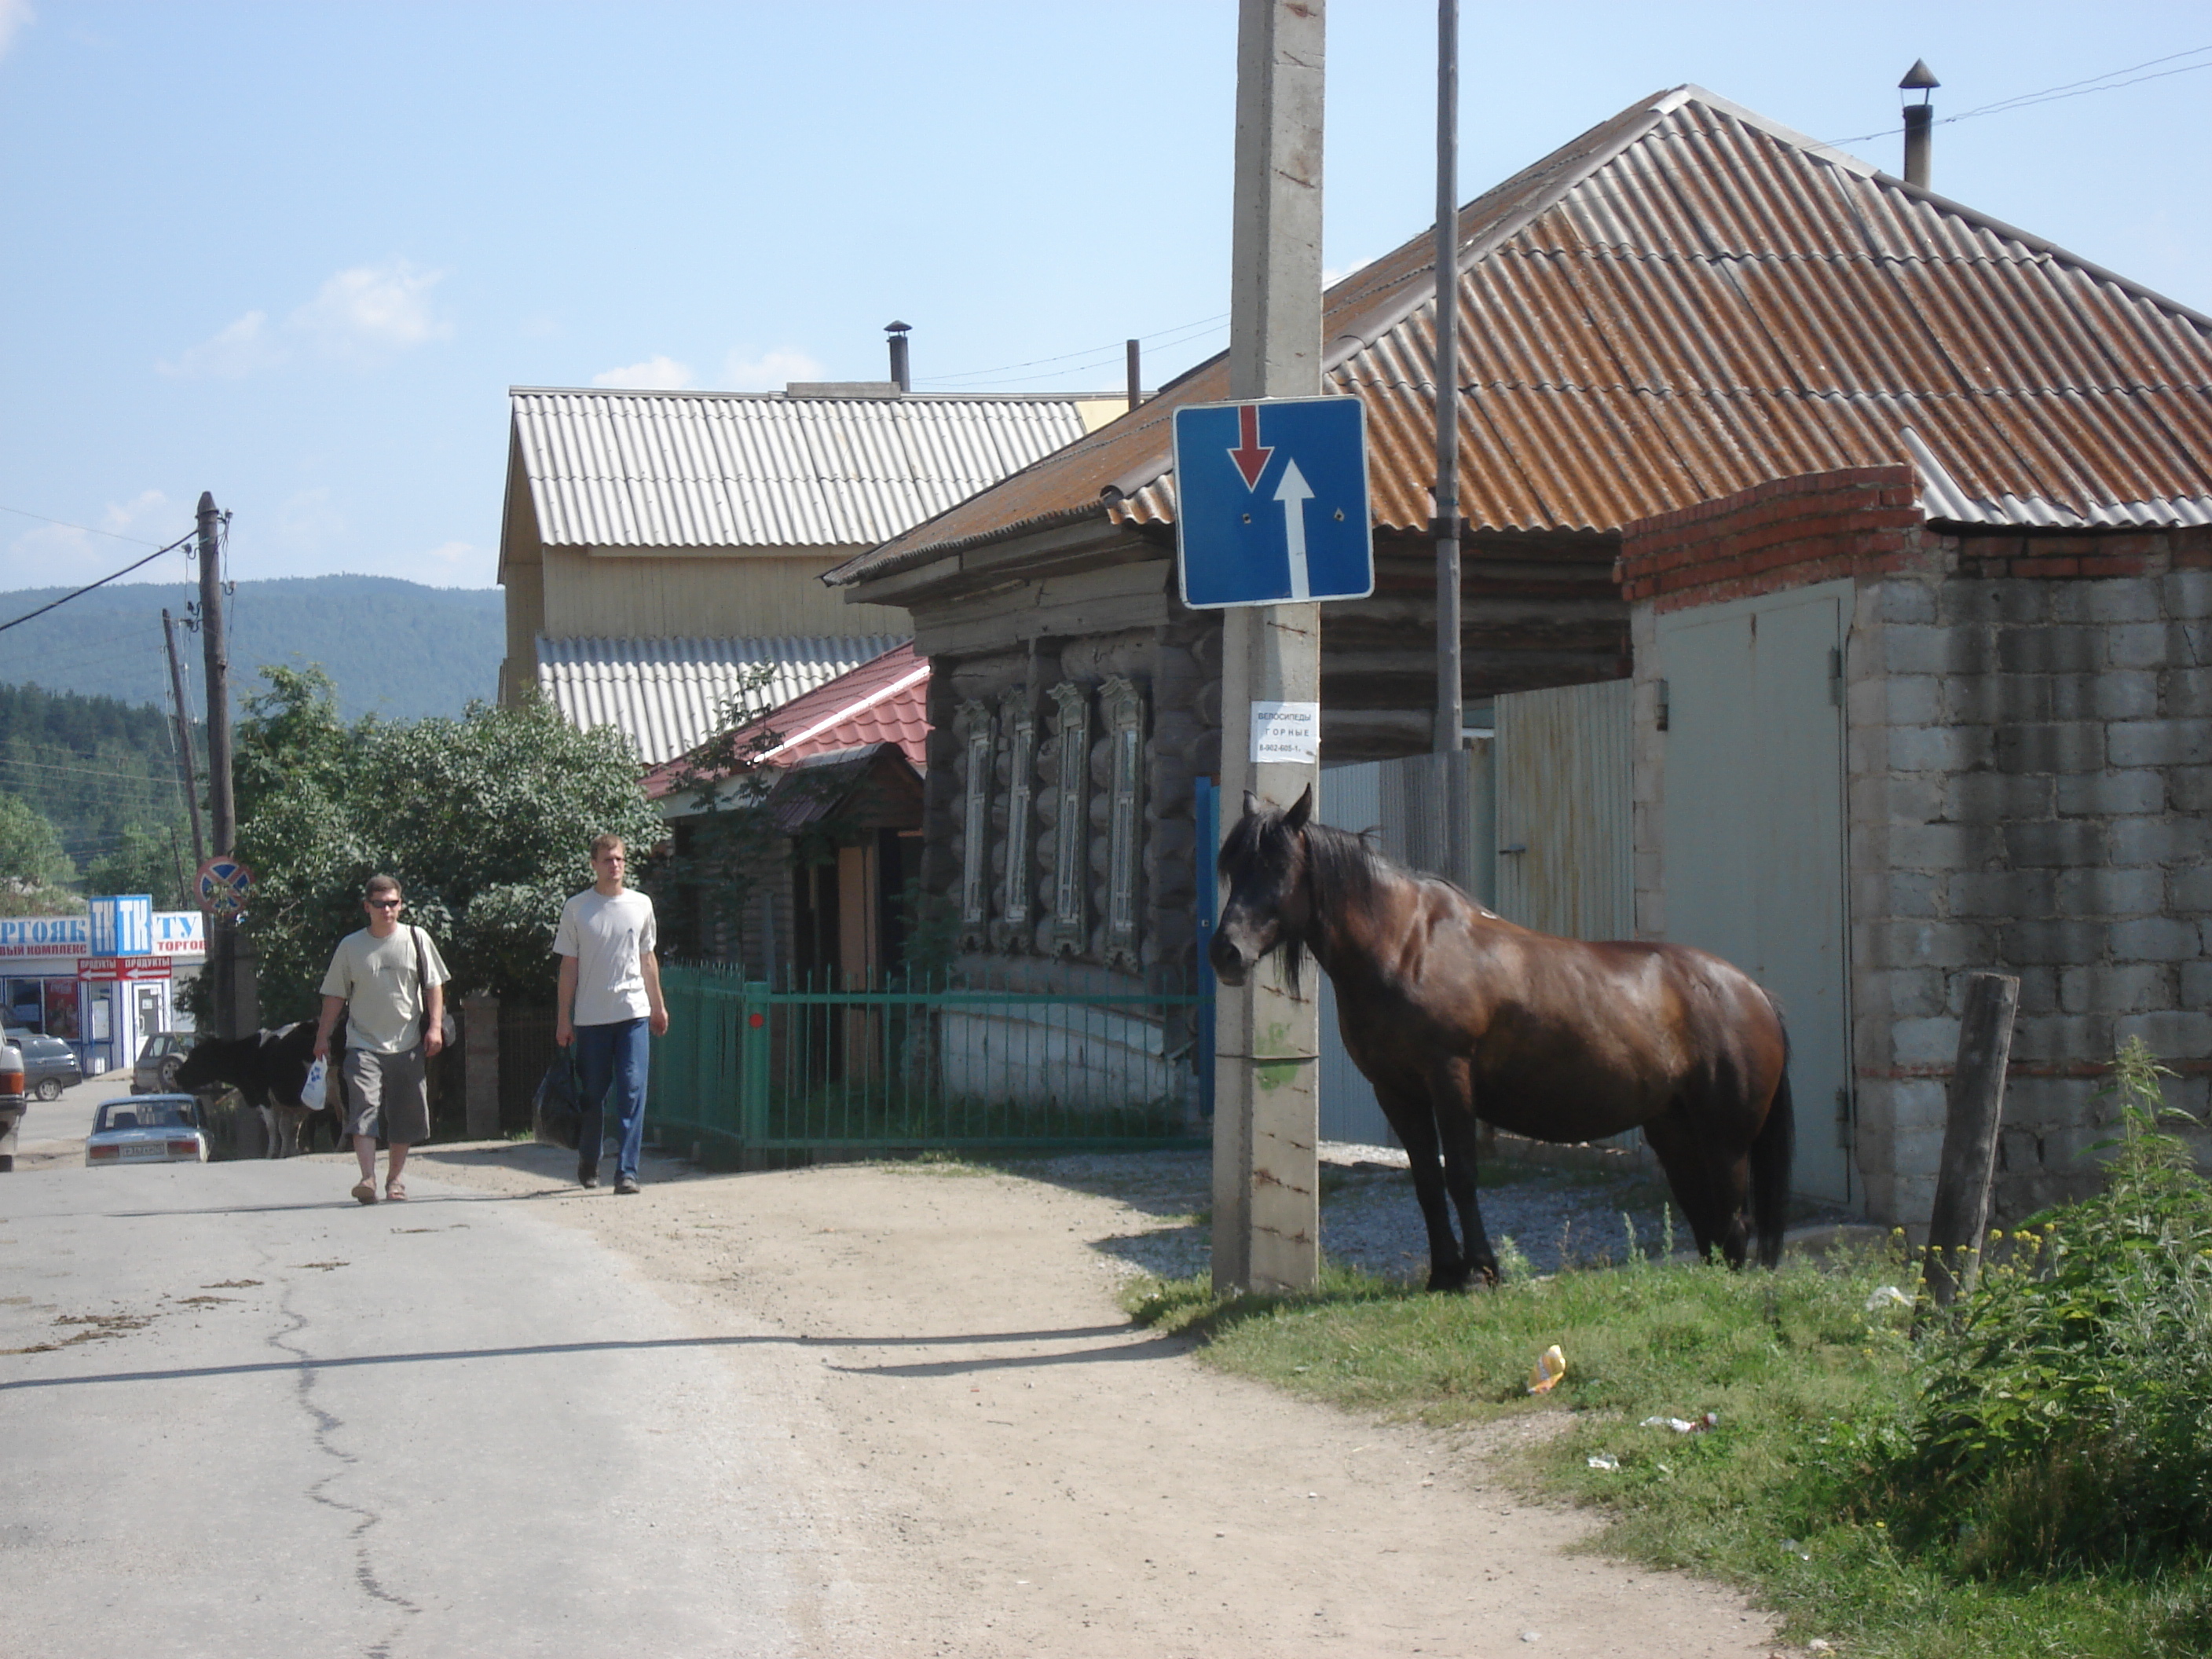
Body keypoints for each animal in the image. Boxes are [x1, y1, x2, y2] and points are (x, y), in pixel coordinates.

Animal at [174, 1021, 345, 1159]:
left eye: (195, 1056)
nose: (176, 1075)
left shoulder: (264, 1096)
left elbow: (273, 1127)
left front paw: (271, 1154)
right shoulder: (287, 1102)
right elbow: (287, 1129)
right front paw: (287, 1153)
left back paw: (340, 1147)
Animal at [1212, 787, 1796, 1291]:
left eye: (1278, 867)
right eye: (1234, 868)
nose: (1226, 952)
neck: (1407, 948)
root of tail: (1755, 992)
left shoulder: (1450, 1080)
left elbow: (1461, 1174)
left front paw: (1482, 1270)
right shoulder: (1396, 1092)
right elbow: (1426, 1182)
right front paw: (1443, 1274)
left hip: (1726, 1141)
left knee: (1735, 1223)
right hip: (1673, 1131)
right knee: (1708, 1222)